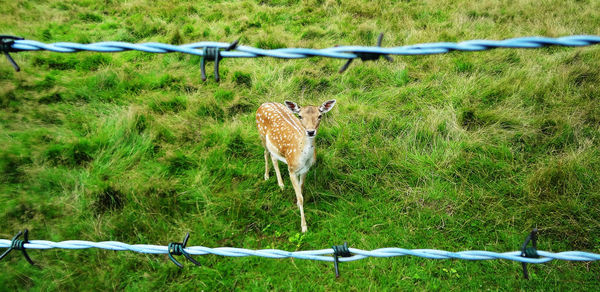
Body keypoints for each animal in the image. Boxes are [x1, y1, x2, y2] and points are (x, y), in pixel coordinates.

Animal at [254, 100, 338, 233]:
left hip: (273, 145)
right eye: (300, 116)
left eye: (320, 116)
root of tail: (264, 104)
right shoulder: (291, 169)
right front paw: (304, 227)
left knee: (273, 157)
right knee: (265, 153)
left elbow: (301, 189)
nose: (310, 132)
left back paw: (281, 184)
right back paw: (266, 176)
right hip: (261, 134)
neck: (302, 156)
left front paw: (298, 205)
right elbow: (300, 196)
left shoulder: (305, 169)